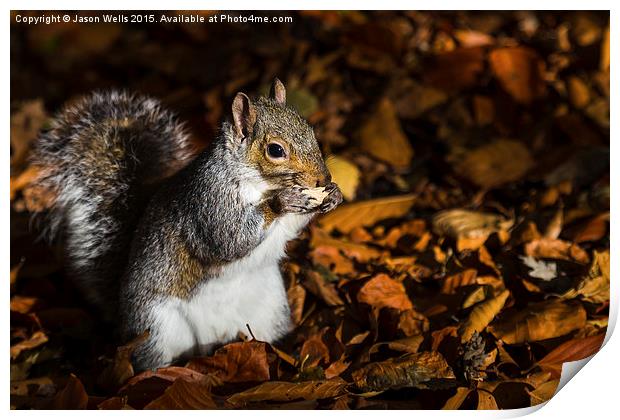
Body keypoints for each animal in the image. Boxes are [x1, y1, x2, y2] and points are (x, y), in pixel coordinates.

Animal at [32, 79, 344, 370]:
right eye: (276, 150)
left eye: (311, 131)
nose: (323, 178)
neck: (258, 183)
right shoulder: (208, 203)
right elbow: (230, 237)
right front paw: (284, 201)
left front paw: (333, 195)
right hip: (156, 328)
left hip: (271, 308)